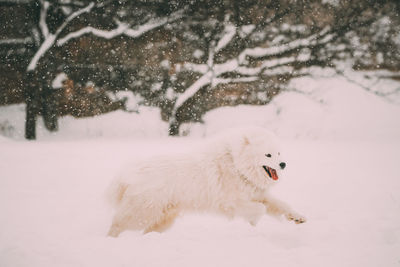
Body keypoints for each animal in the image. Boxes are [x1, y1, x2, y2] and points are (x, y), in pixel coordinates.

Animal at [106, 126, 306, 238]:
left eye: (279, 152)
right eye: (268, 155)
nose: (283, 164)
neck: (236, 164)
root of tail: (128, 174)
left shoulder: (257, 194)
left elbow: (280, 205)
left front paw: (297, 217)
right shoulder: (230, 203)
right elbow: (260, 209)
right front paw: (253, 221)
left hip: (163, 218)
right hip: (143, 213)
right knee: (117, 224)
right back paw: (110, 239)